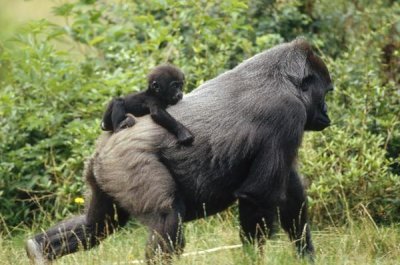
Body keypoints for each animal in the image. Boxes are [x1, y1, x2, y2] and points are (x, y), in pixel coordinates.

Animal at [26, 38, 334, 262]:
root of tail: (109, 140)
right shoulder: (287, 113)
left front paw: (306, 255)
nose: (326, 114)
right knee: (166, 221)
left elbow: (292, 197)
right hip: (128, 162)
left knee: (98, 226)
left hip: (103, 169)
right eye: (326, 92)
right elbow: (258, 196)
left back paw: (38, 249)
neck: (284, 78)